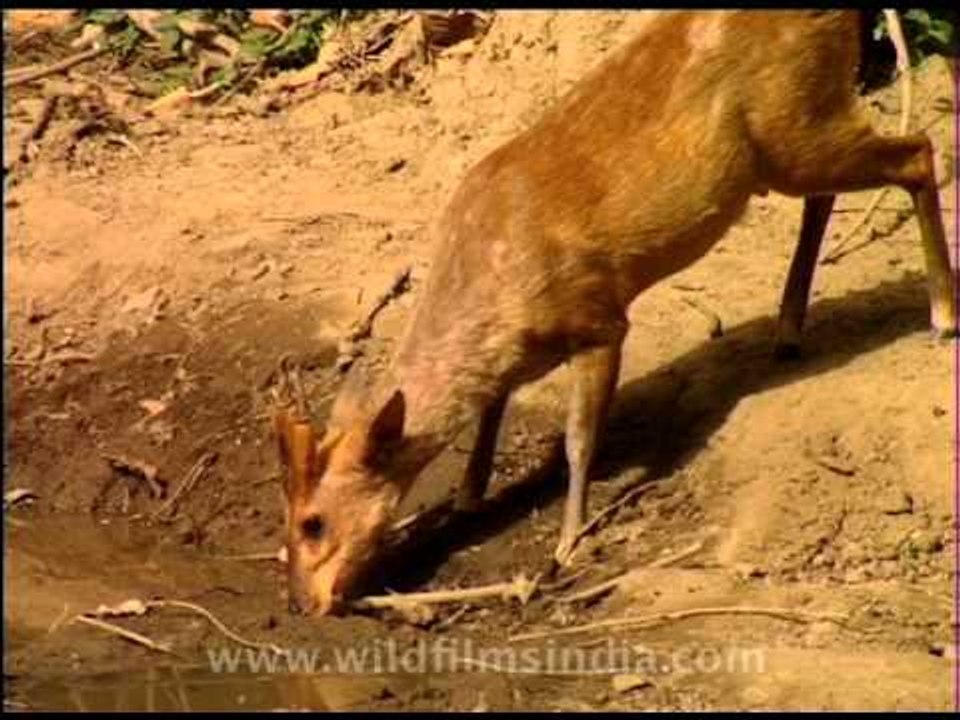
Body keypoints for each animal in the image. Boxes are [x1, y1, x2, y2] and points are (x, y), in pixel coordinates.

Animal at [275, 10, 957, 615]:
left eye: (312, 523)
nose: (303, 603)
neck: (491, 293)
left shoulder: (598, 316)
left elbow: (579, 439)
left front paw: (569, 541)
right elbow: (489, 419)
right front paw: (468, 496)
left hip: (797, 119)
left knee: (918, 153)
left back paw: (941, 316)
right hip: (792, 140)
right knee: (831, 190)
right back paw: (790, 328)